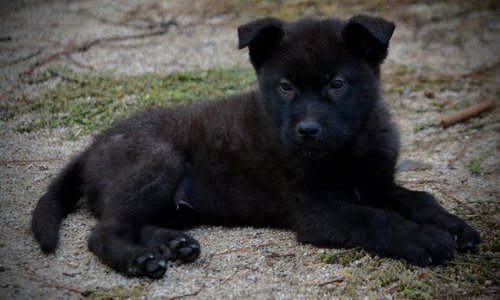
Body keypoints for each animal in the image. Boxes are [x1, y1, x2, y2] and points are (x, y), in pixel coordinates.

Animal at [32, 15, 480, 278]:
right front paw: (424, 240)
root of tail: (91, 147)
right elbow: (377, 219)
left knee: (133, 222)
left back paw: (173, 244)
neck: (348, 147)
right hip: (157, 160)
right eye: (285, 87)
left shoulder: (376, 183)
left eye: (337, 83)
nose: (307, 130)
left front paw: (452, 225)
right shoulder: (318, 211)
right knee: (103, 232)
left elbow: (418, 198)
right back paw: (139, 259)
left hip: (174, 202)